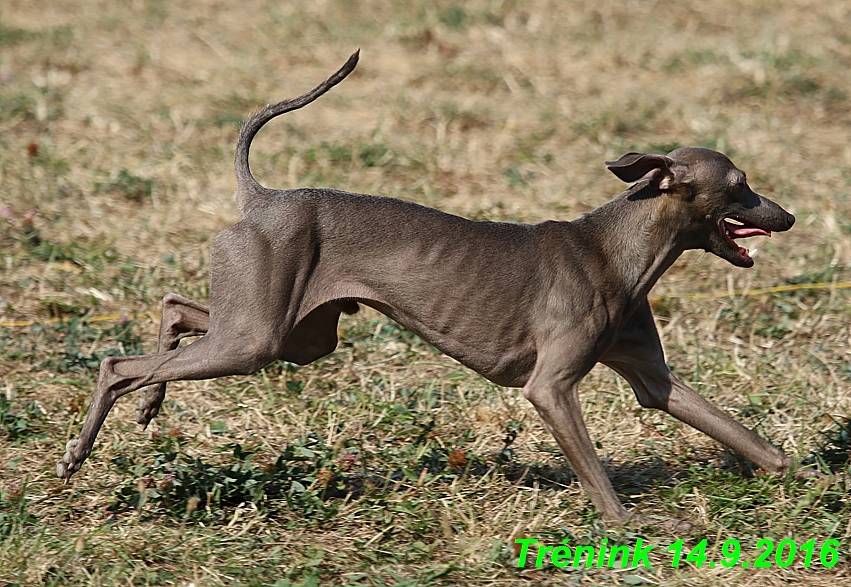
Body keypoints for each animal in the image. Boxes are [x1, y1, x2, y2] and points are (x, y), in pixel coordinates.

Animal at [58, 51, 804, 528]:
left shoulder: (653, 379)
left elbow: (746, 436)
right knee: (117, 362)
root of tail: (261, 198)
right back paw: (79, 451)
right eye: (739, 185)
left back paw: (150, 403)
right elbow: (594, 470)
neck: (620, 250)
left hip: (292, 334)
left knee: (175, 312)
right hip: (257, 338)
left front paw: (806, 476)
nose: (789, 215)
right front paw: (630, 523)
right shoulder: (550, 387)